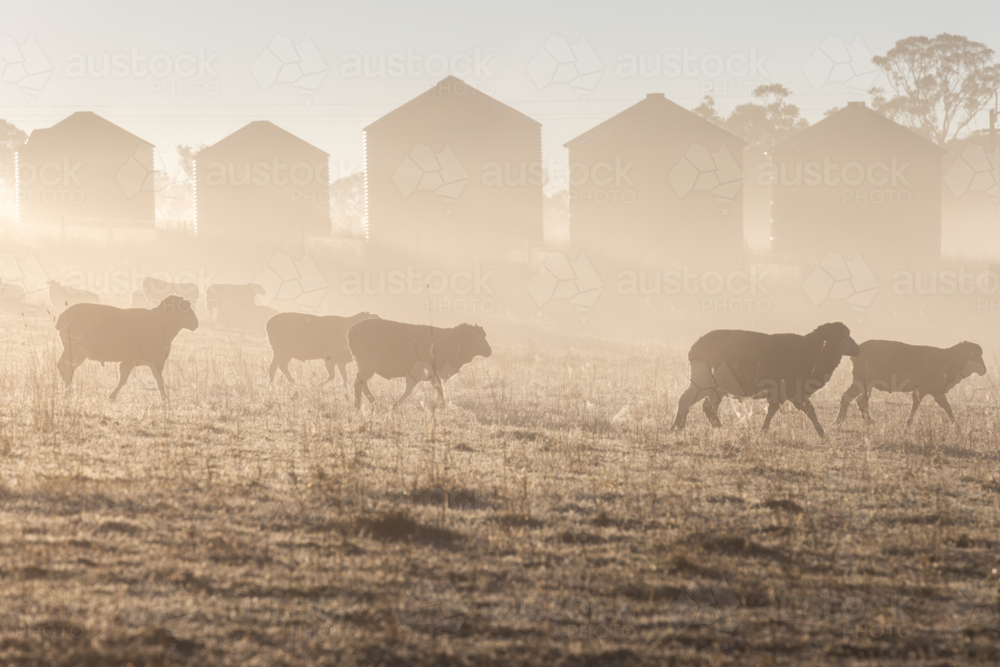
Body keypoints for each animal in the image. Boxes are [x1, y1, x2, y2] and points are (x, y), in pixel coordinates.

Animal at [57, 294, 202, 400]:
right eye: (185, 308)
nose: (196, 323)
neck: (161, 322)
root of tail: (62, 317)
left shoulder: (150, 362)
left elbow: (158, 381)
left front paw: (165, 399)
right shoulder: (134, 360)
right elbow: (124, 380)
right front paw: (112, 396)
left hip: (79, 352)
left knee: (67, 367)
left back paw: (68, 389)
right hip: (73, 349)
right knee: (64, 366)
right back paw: (68, 390)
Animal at [346, 318, 494, 408]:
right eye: (478, 337)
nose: (489, 350)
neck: (451, 340)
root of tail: (351, 330)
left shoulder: (420, 375)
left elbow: (413, 390)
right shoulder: (425, 372)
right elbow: (435, 388)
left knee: (362, 384)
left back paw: (372, 403)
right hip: (367, 367)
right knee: (359, 384)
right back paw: (360, 405)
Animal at [672, 322, 860, 438]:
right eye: (842, 336)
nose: (857, 349)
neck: (814, 351)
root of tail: (695, 346)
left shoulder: (787, 393)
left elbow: (785, 411)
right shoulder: (790, 391)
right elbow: (804, 411)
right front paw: (822, 434)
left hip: (716, 388)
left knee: (707, 407)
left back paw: (715, 427)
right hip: (703, 381)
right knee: (686, 400)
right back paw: (677, 427)